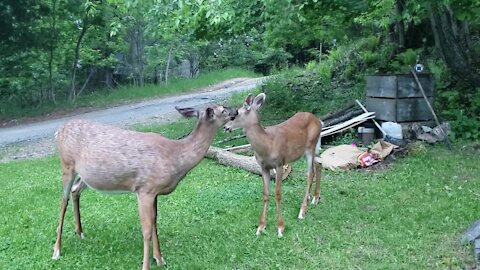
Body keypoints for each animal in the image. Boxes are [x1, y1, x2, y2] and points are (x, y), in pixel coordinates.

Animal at [51, 104, 237, 268]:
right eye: (222, 110)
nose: (235, 110)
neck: (175, 155)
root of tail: (58, 131)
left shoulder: (154, 191)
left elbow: (155, 221)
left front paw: (160, 258)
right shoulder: (145, 189)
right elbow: (146, 230)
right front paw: (147, 264)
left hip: (86, 175)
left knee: (75, 190)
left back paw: (80, 233)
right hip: (66, 164)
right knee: (62, 202)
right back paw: (57, 250)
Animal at [224, 94, 322, 237]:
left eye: (235, 114)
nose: (225, 127)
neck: (267, 144)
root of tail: (318, 120)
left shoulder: (280, 164)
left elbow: (277, 193)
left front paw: (280, 228)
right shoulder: (264, 167)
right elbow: (265, 194)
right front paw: (261, 227)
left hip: (311, 146)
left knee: (310, 174)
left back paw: (302, 211)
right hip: (308, 151)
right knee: (319, 163)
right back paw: (314, 198)